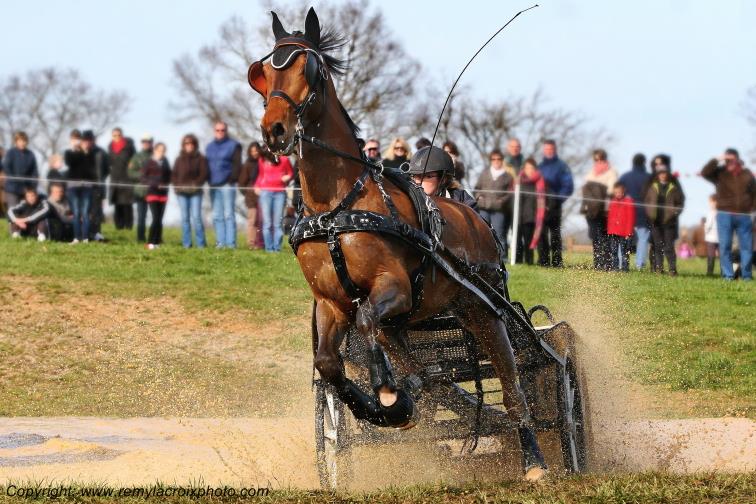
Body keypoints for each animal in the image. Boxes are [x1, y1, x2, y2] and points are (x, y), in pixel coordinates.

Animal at [247, 7, 547, 481]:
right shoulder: (331, 304)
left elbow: (368, 319)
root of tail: (477, 220)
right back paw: (417, 388)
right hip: (420, 317)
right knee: (421, 365)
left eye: (308, 68)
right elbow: (328, 363)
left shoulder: (394, 287)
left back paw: (534, 459)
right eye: (261, 74)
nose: (274, 129)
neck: (337, 207)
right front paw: (389, 407)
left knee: (513, 385)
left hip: (484, 311)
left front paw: (388, 395)